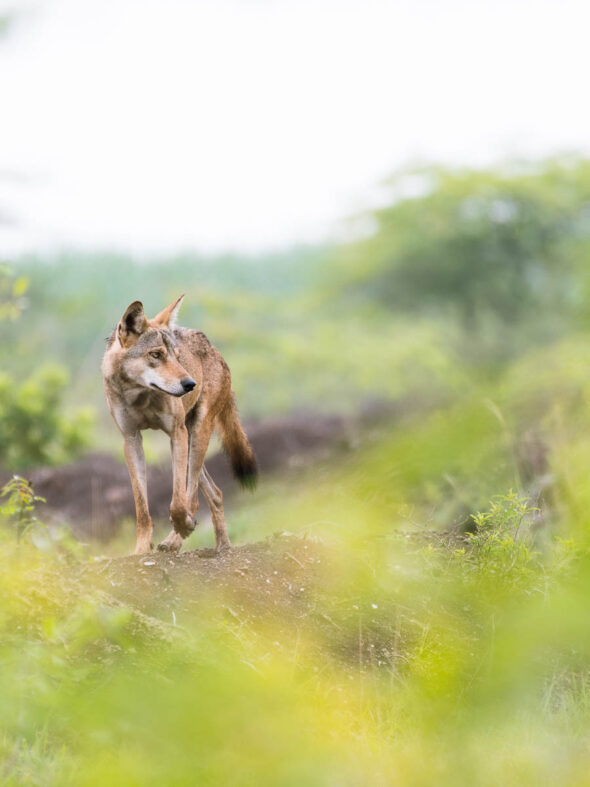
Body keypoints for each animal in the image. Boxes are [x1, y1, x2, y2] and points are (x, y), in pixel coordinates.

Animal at [101, 296, 256, 556]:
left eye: (176, 355)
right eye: (156, 355)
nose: (190, 384)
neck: (140, 396)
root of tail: (215, 349)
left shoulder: (176, 433)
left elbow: (178, 501)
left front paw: (182, 528)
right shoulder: (131, 439)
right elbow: (141, 507)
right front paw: (141, 548)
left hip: (196, 435)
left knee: (193, 497)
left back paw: (178, 538)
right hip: (192, 444)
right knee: (215, 494)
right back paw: (222, 546)